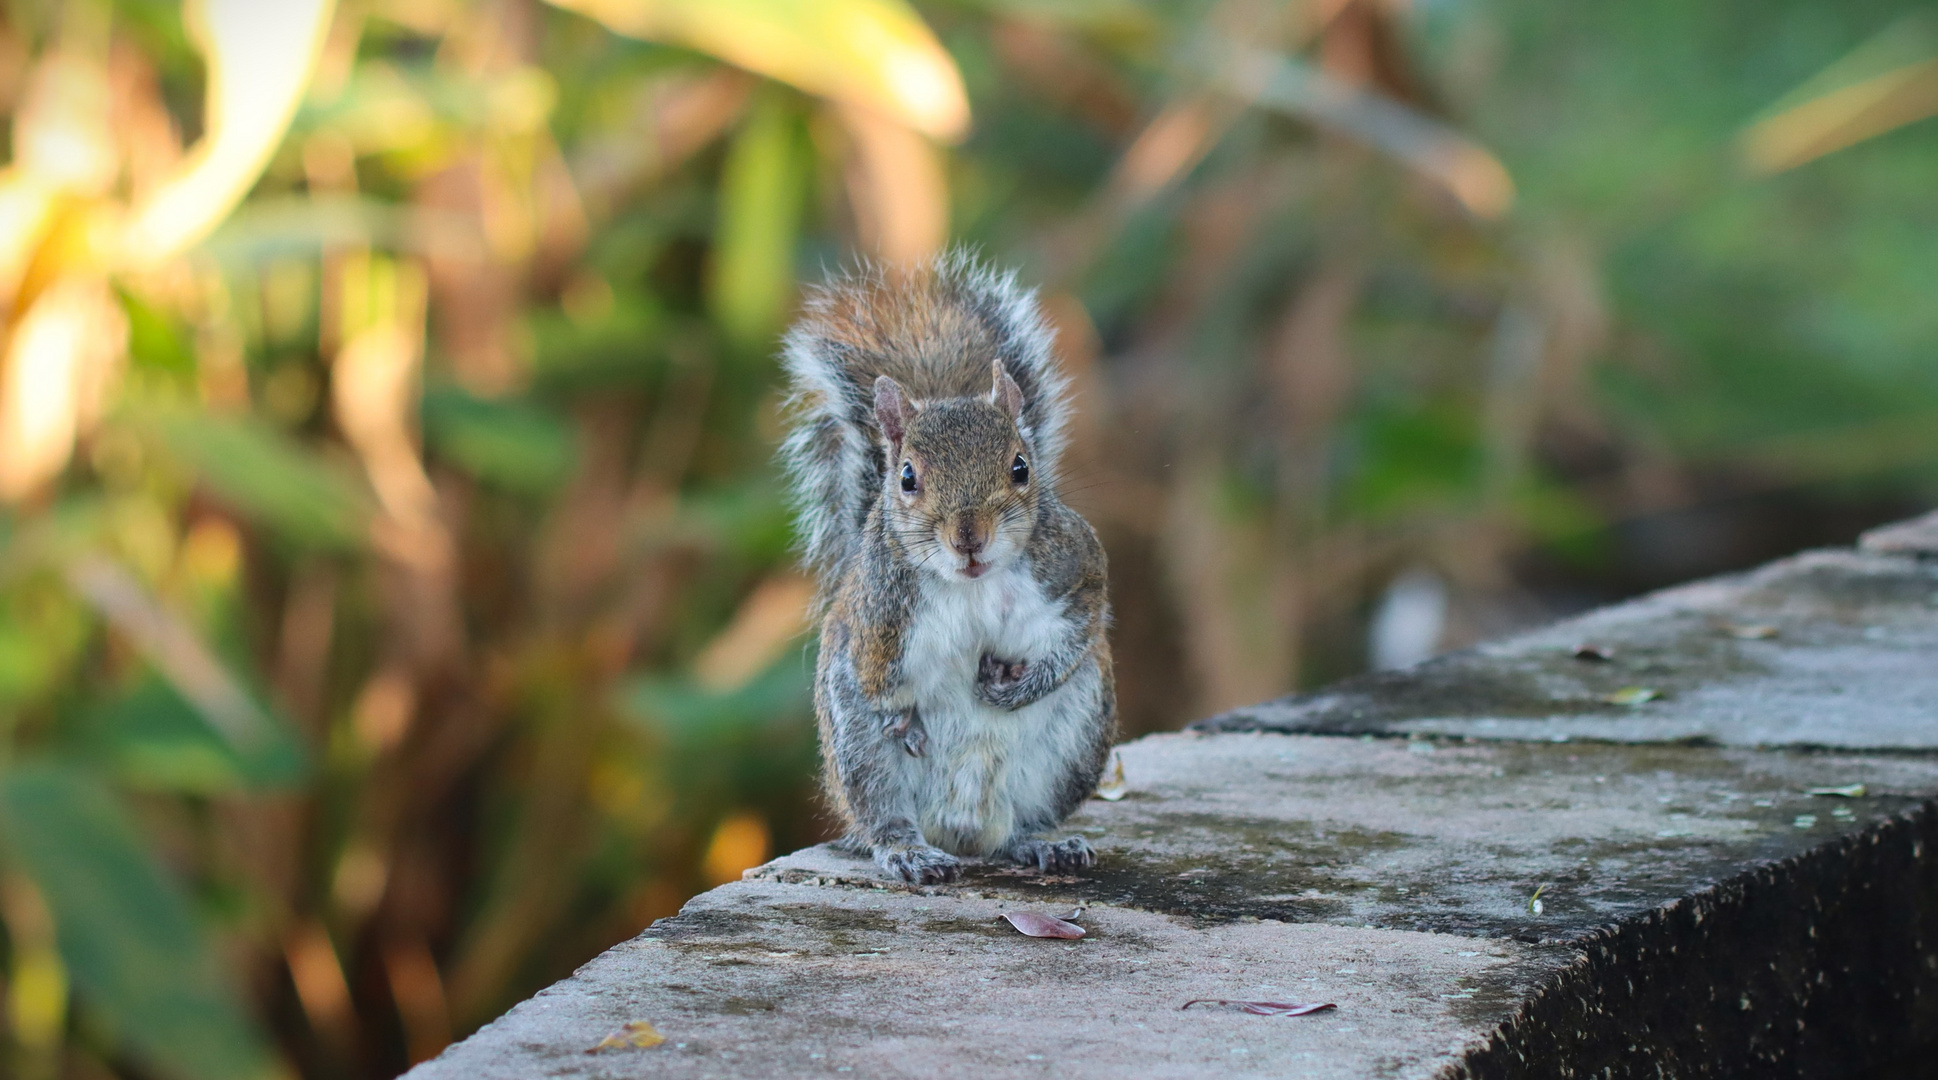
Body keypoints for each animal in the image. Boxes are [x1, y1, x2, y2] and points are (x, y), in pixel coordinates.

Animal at [782, 252, 1124, 884]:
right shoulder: (877, 625)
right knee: (883, 816)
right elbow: (882, 687)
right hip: (858, 755)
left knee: (1019, 824)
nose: (969, 538)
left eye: (1021, 466)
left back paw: (1040, 843)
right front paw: (910, 724)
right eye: (907, 477)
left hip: (1077, 738)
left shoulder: (1075, 564)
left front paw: (1019, 688)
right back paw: (909, 852)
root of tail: (963, 832)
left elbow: (1083, 624)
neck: (972, 585)